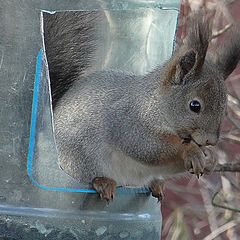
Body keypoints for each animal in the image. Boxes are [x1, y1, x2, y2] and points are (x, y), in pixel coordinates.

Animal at [43, 10, 240, 201]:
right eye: (195, 105)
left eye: (224, 110)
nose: (211, 141)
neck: (153, 104)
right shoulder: (128, 121)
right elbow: (146, 146)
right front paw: (191, 151)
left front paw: (211, 158)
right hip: (78, 160)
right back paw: (103, 181)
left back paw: (156, 184)